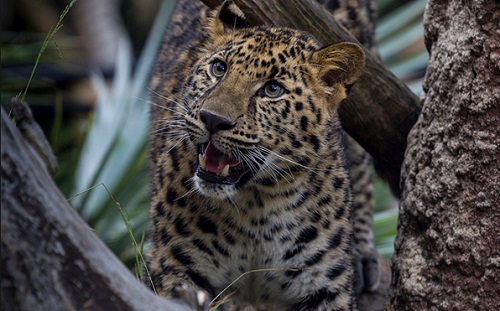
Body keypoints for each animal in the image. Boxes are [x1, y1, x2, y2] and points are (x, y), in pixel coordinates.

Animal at [146, 1, 380, 310]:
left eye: (272, 89)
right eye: (218, 69)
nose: (212, 119)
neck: (255, 208)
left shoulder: (325, 288)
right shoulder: (174, 267)